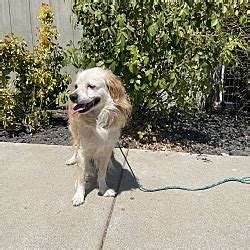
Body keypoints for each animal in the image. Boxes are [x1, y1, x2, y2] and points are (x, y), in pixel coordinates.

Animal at [66, 67, 133, 206]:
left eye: (91, 86)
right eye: (76, 86)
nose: (72, 96)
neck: (96, 121)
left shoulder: (106, 150)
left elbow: (102, 172)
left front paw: (104, 189)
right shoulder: (83, 151)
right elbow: (81, 176)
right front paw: (79, 195)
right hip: (73, 130)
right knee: (75, 145)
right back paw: (72, 159)